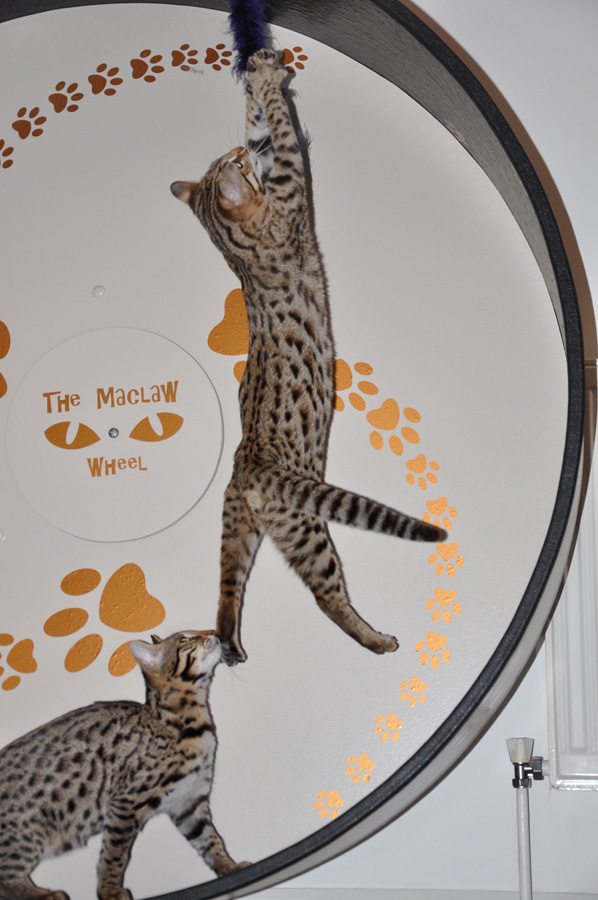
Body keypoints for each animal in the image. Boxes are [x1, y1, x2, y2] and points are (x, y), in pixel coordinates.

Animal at [0, 630, 248, 900]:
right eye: (185, 639)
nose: (212, 632)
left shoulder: (189, 801)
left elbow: (211, 840)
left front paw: (229, 867)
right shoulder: (125, 804)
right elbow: (114, 855)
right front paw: (109, 891)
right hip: (24, 837)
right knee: (6, 878)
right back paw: (44, 894)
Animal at [171, 50, 446, 665]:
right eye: (233, 164)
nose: (239, 153)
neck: (236, 249)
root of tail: (248, 467)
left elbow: (266, 123)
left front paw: (256, 78)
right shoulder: (293, 189)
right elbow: (283, 131)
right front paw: (270, 84)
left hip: (241, 528)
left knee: (227, 587)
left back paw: (230, 643)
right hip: (306, 528)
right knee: (326, 596)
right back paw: (376, 639)